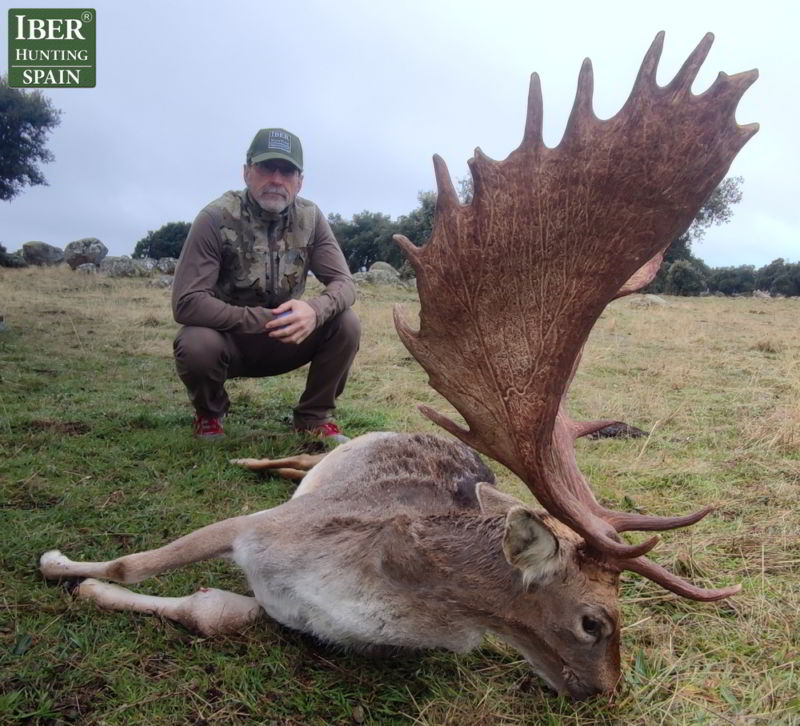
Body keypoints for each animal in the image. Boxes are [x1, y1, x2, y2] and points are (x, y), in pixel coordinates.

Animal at [40, 31, 756, 704]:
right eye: (594, 621)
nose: (607, 690)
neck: (368, 586)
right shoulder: (256, 526)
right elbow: (130, 564)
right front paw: (60, 562)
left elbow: (213, 611)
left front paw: (92, 589)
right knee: (295, 455)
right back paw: (243, 455)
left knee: (299, 462)